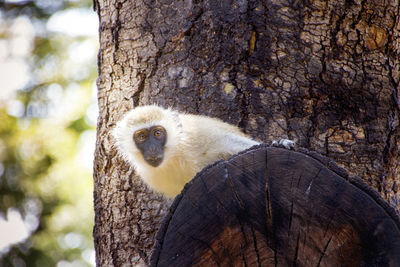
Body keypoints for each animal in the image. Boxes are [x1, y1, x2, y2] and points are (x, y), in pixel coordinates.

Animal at [112, 105, 294, 198]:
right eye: (141, 136)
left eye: (157, 133)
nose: (152, 148)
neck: (174, 156)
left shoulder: (197, 137)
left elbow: (229, 142)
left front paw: (279, 142)